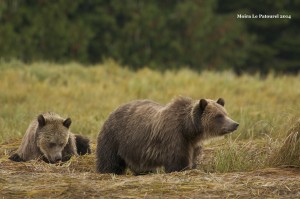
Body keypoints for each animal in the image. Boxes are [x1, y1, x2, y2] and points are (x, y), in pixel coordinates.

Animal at [96, 97, 239, 174]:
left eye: (225, 113)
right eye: (218, 116)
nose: (235, 124)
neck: (189, 129)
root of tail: (113, 111)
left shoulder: (193, 145)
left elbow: (193, 160)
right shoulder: (174, 138)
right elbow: (178, 163)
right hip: (115, 137)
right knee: (109, 160)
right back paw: (107, 171)